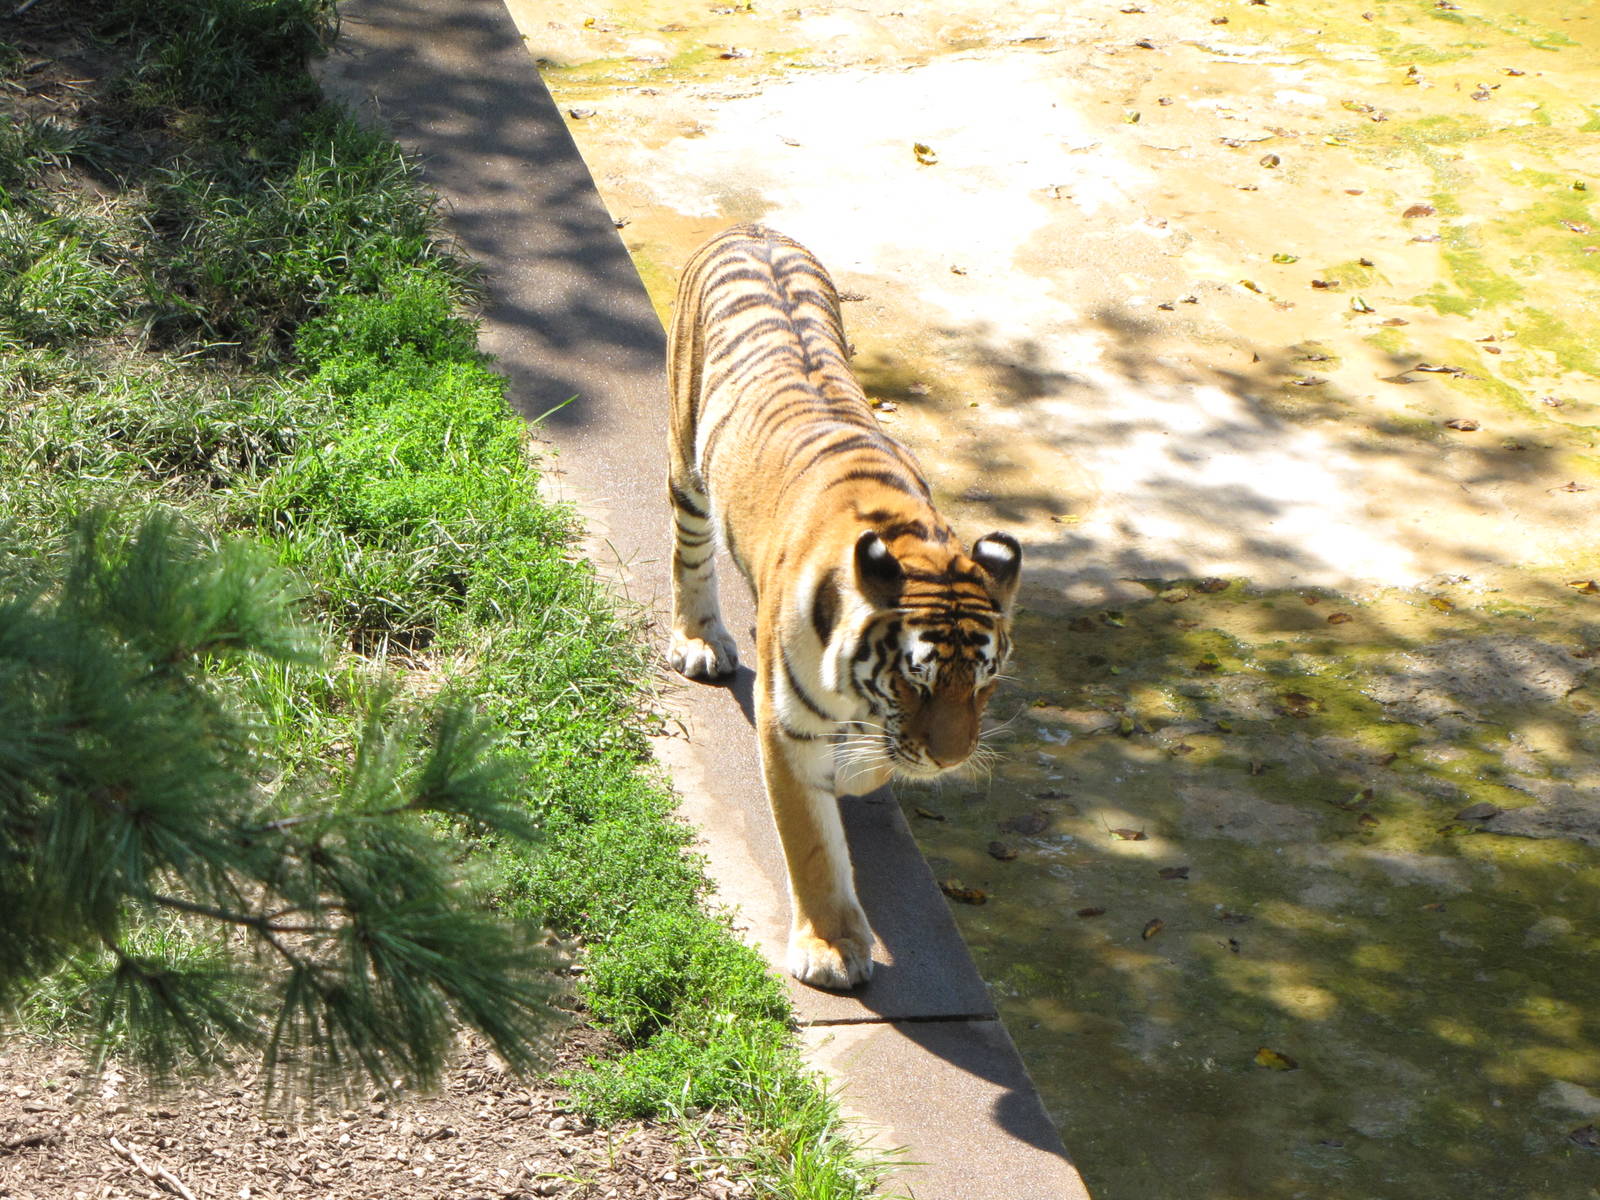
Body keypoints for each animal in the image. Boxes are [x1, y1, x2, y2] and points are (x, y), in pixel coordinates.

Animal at [666, 224, 1021, 991]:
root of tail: (752, 228)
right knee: (691, 551)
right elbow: (812, 845)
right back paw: (700, 639)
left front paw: (865, 769)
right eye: (917, 682)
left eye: (983, 686)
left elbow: (873, 763)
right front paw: (830, 949)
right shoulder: (788, 726)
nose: (950, 761)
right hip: (687, 465)